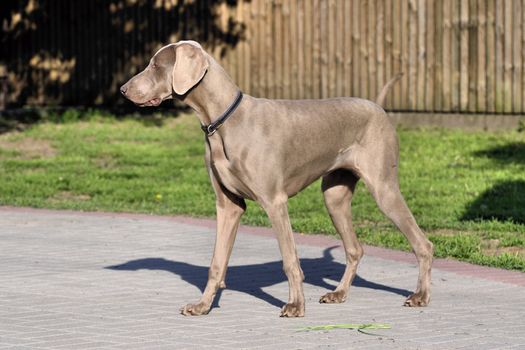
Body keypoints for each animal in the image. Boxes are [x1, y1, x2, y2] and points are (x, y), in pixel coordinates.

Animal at [121, 40, 432, 318]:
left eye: (156, 65)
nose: (123, 90)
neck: (223, 121)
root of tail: (377, 106)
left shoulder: (275, 201)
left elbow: (290, 259)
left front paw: (295, 306)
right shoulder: (228, 206)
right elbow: (216, 263)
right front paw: (203, 306)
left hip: (383, 188)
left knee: (422, 243)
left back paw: (420, 296)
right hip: (334, 196)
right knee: (355, 248)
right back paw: (339, 293)